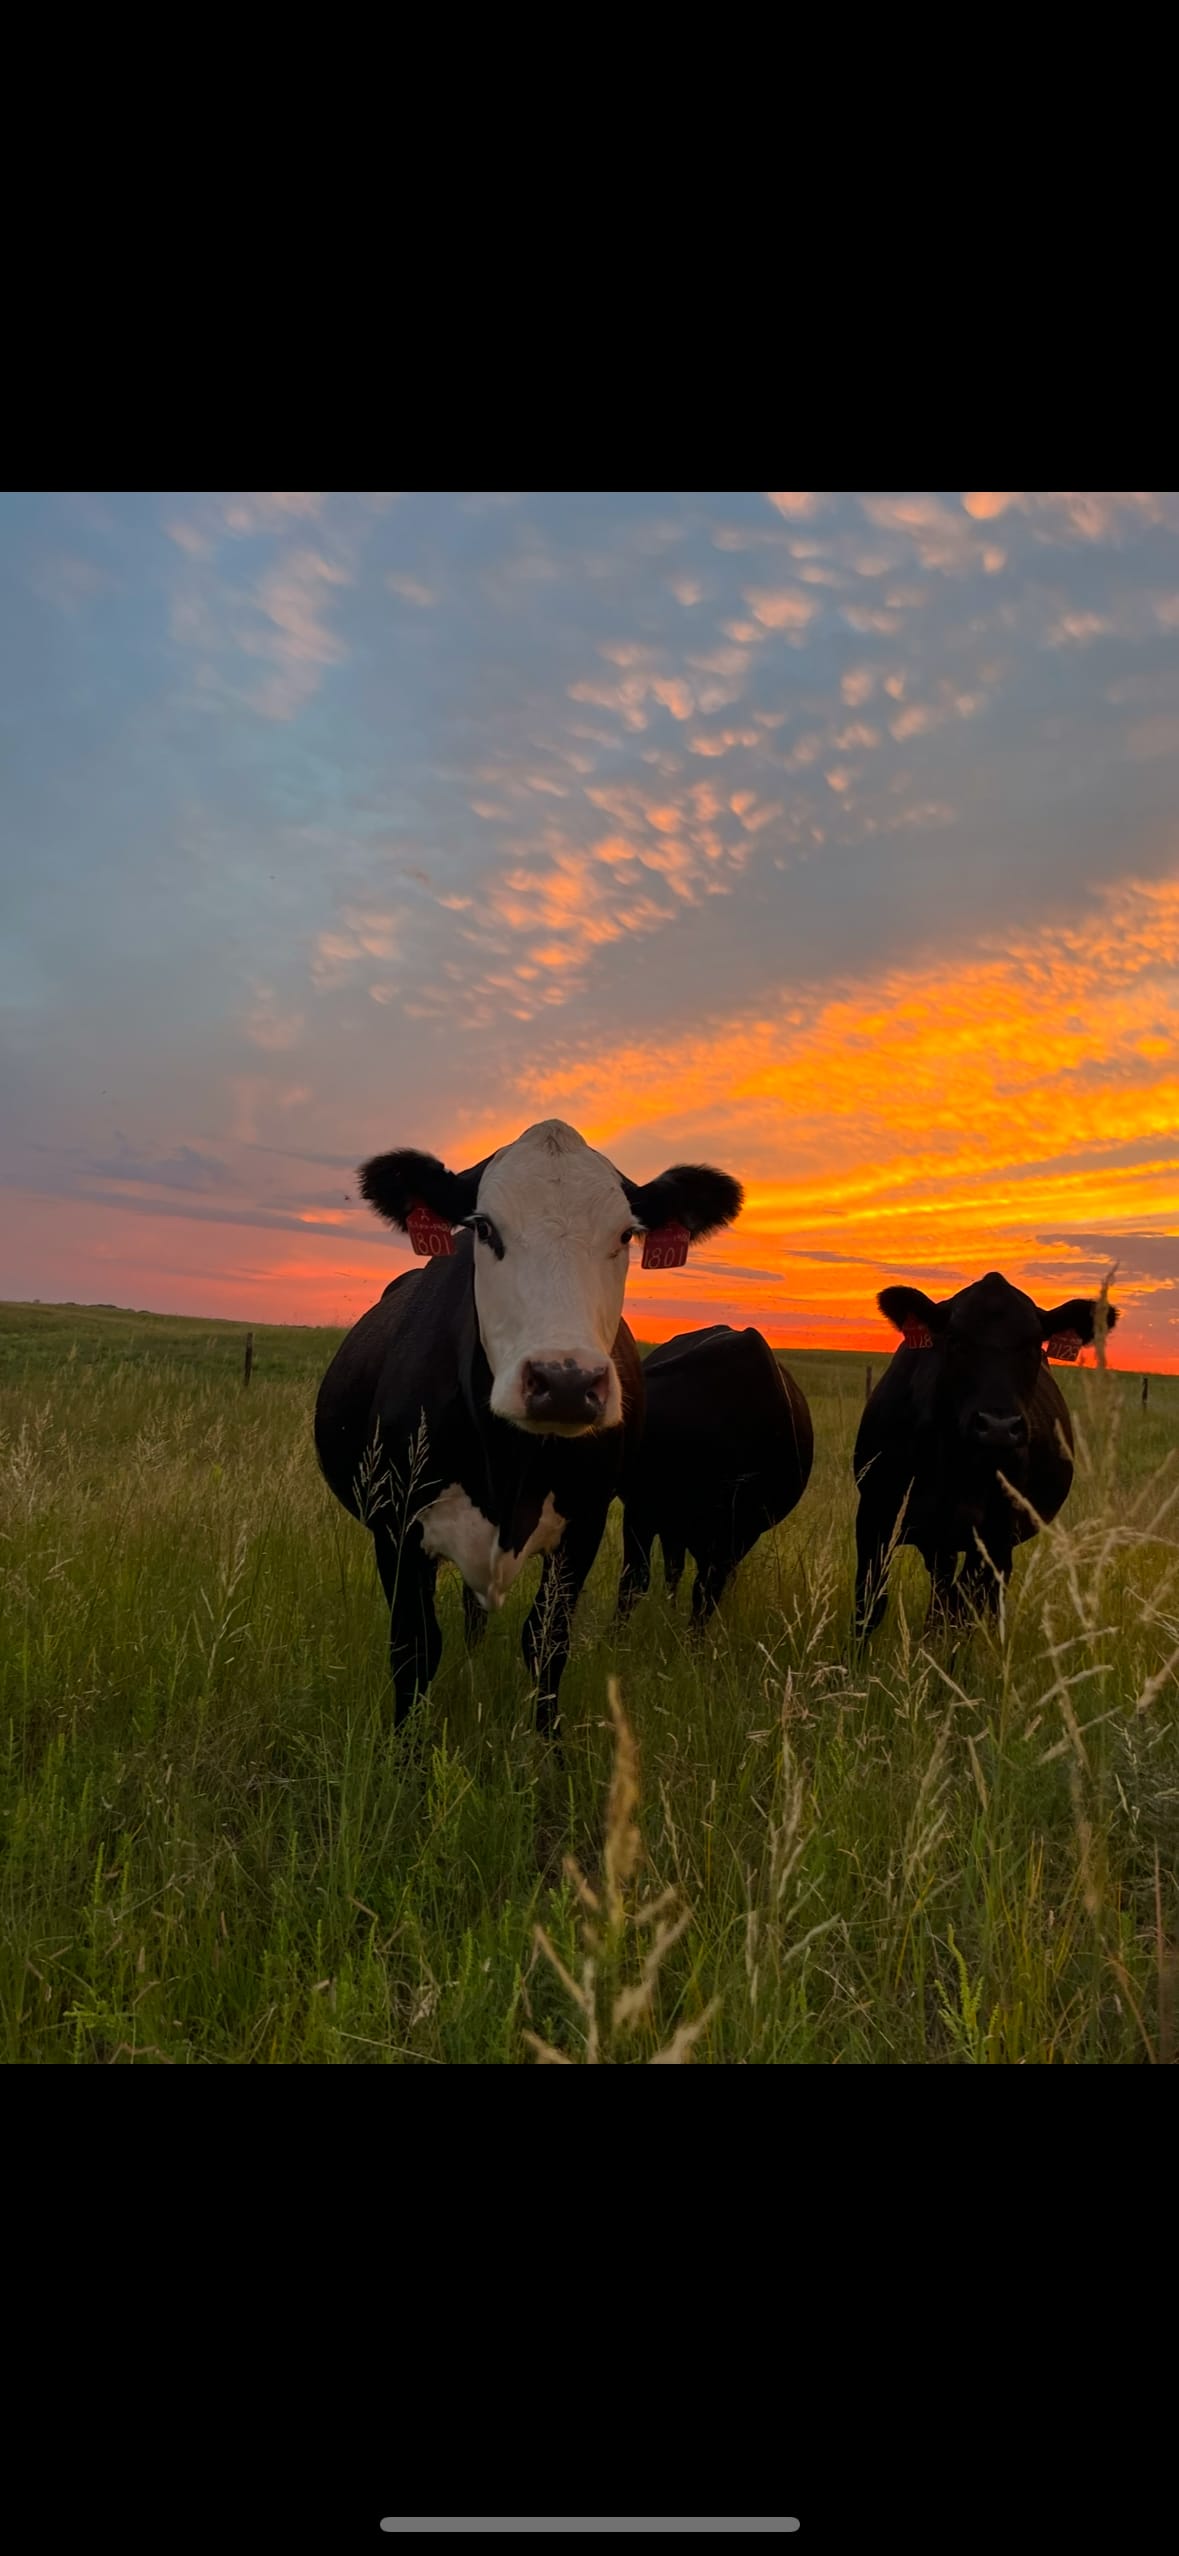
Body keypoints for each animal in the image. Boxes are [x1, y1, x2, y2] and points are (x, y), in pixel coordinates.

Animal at [314, 1119, 743, 1731]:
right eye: (484, 1227)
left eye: (626, 1235)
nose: (565, 1381)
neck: (506, 1466)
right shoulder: (396, 1527)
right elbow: (415, 1648)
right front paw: (406, 1751)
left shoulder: (584, 1525)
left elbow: (547, 1644)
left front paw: (548, 1752)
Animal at [852, 1271, 1119, 1639]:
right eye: (954, 1340)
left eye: (1034, 1345)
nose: (998, 1426)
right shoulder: (875, 1513)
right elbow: (870, 1605)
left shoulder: (993, 1532)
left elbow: (962, 1613)